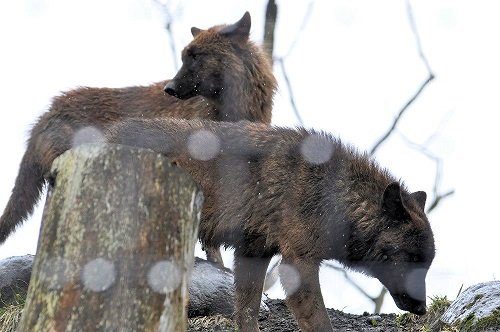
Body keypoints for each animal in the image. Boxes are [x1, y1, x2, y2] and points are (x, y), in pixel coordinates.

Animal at [107, 118, 436, 332]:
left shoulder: (254, 252)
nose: (422, 309)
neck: (333, 197)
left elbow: (246, 312)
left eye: (427, 264)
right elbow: (321, 323)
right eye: (411, 259)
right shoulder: (297, 263)